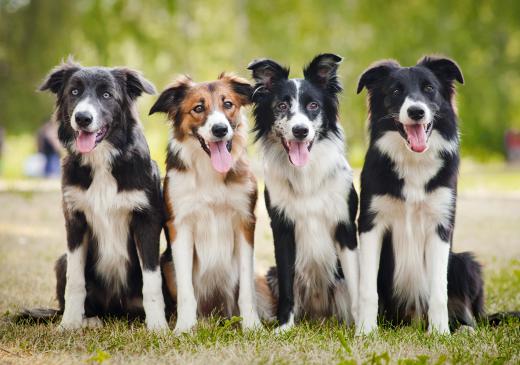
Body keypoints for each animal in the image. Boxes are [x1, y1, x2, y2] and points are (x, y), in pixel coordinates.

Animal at [38, 60, 169, 330]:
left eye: (107, 95)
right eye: (74, 92)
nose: (82, 118)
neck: (102, 160)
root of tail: (115, 309)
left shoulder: (147, 220)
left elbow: (152, 281)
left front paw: (158, 326)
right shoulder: (75, 220)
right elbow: (75, 281)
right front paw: (69, 324)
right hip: (61, 260)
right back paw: (89, 320)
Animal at [149, 72, 274, 332]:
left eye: (228, 104)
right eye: (198, 108)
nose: (220, 129)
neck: (209, 171)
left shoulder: (245, 222)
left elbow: (246, 290)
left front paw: (252, 326)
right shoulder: (180, 225)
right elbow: (187, 290)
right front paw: (184, 328)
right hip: (167, 265)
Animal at [250, 54, 360, 330]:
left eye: (313, 105)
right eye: (281, 106)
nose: (300, 131)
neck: (306, 174)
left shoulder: (345, 226)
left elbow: (356, 285)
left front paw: (363, 327)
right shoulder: (282, 227)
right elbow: (288, 287)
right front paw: (284, 326)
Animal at [356, 55, 486, 334]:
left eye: (429, 88)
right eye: (395, 91)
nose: (416, 111)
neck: (413, 162)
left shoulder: (440, 225)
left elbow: (438, 291)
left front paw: (439, 333)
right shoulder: (371, 223)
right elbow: (367, 289)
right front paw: (365, 331)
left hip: (464, 262)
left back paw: (463, 329)